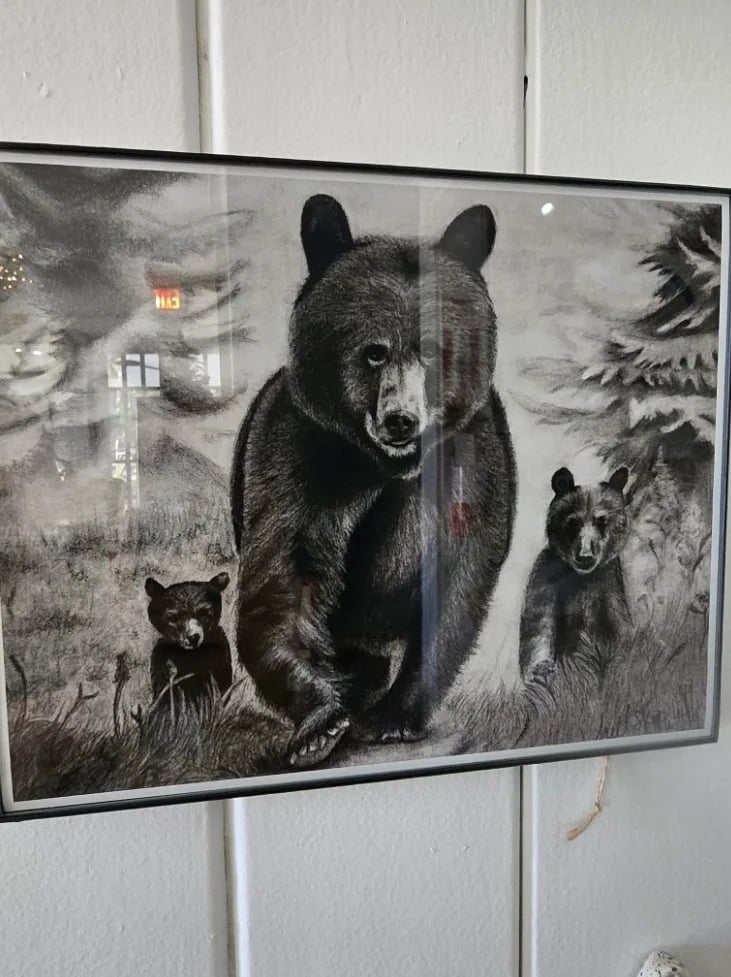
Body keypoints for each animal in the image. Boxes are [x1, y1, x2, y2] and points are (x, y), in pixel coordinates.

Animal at [145, 572, 233, 712]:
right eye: (173, 617)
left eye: (204, 613)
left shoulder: (219, 661)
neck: (191, 656)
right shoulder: (162, 666)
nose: (193, 637)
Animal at [230, 193, 516, 768]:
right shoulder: (298, 447)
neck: (386, 463)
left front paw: (394, 717)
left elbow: (456, 575)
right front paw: (320, 722)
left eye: (431, 350)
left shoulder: (471, 458)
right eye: (374, 351)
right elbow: (286, 573)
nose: (399, 420)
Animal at [518, 465, 631, 688]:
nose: (585, 556)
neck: (582, 576)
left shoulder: (609, 585)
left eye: (602, 520)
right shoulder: (547, 577)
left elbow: (619, 629)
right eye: (573, 521)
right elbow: (538, 627)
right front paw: (541, 670)